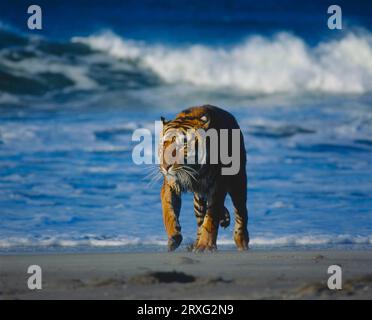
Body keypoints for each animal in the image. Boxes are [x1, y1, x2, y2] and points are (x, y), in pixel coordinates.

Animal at [158, 105, 248, 252]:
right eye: (164, 144)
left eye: (183, 146)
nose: (165, 167)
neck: (193, 171)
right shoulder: (170, 184)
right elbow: (168, 210)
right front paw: (173, 237)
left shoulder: (217, 187)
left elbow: (211, 218)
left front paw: (205, 246)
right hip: (198, 200)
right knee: (201, 219)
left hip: (238, 182)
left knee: (241, 212)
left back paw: (241, 240)